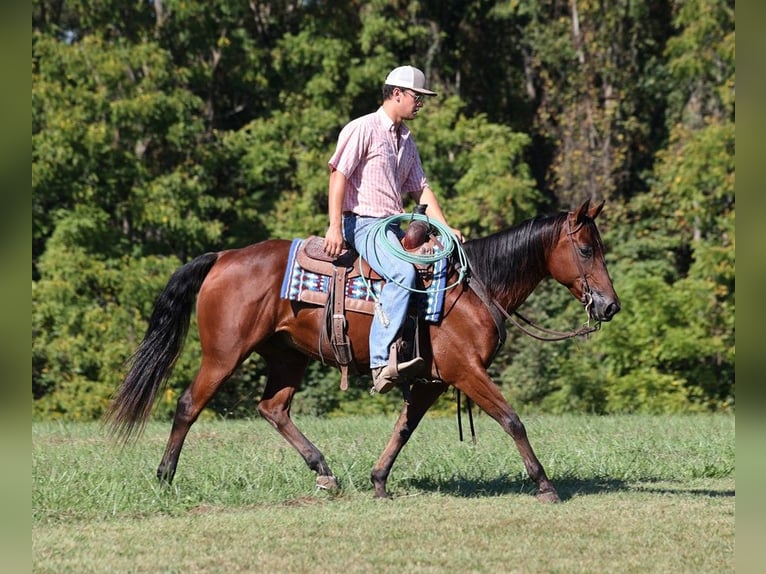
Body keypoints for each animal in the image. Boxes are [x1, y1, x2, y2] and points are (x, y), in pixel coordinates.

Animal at [108, 201, 620, 504]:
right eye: (587, 249)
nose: (609, 305)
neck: (474, 289)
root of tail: (224, 257)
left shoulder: (431, 381)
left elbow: (403, 429)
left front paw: (378, 481)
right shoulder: (464, 372)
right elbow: (512, 419)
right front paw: (545, 485)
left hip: (287, 356)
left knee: (273, 408)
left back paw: (324, 472)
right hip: (224, 354)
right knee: (188, 404)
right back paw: (164, 478)